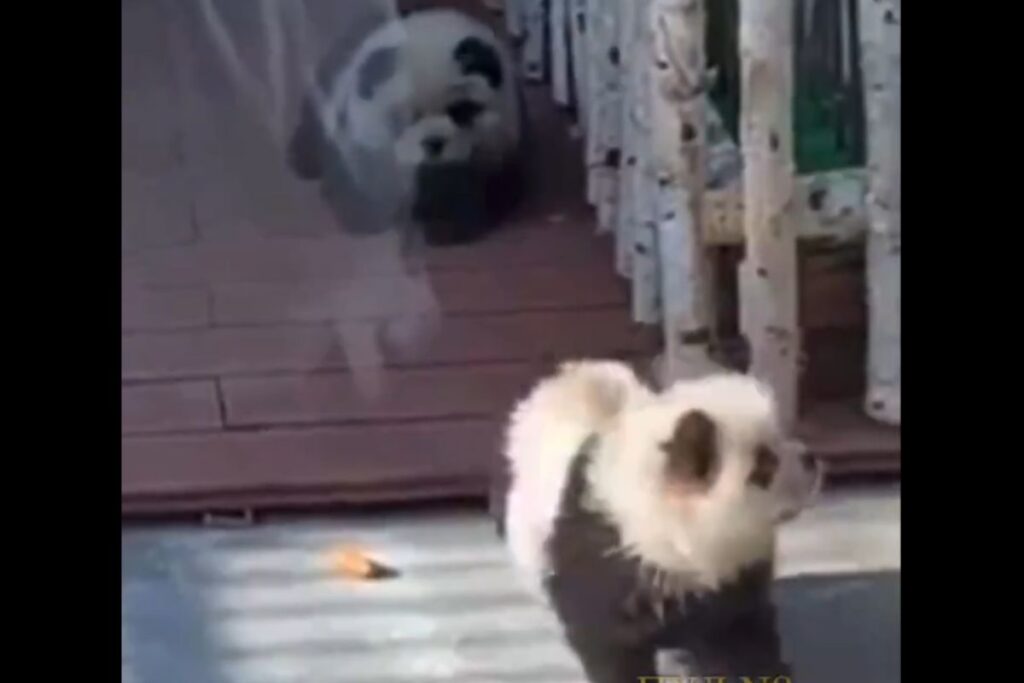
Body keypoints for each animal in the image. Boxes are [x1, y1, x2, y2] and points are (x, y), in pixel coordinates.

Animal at [498, 360, 823, 682]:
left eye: (779, 437)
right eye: (763, 465)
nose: (810, 459)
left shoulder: (733, 585)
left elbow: (747, 645)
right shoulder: (602, 569)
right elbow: (612, 653)